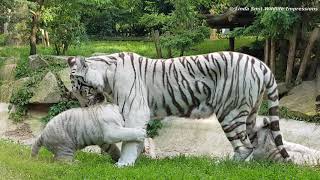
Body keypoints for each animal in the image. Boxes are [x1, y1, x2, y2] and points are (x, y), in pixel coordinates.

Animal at [67, 51, 290, 167]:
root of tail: (261, 64)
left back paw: (223, 166)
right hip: (250, 111)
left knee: (244, 147)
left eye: (79, 89)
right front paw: (137, 158)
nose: (85, 106)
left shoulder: (134, 110)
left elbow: (129, 139)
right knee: (251, 142)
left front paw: (123, 164)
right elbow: (137, 137)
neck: (107, 74)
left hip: (230, 113)